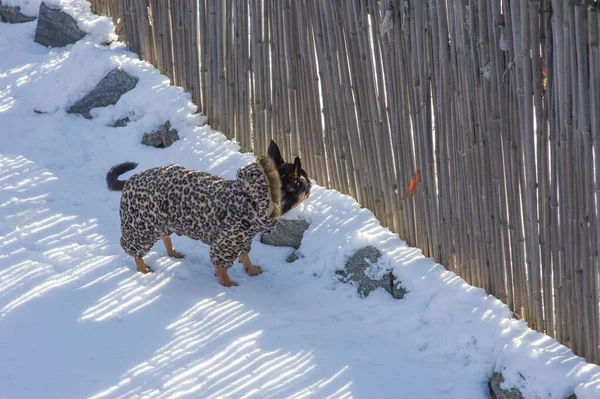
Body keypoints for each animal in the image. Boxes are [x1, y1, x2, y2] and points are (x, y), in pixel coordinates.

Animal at [106, 141, 312, 288]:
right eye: (305, 182)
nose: (311, 184)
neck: (255, 197)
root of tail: (130, 180)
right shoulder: (226, 243)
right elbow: (221, 265)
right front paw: (225, 282)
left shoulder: (243, 239)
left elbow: (245, 256)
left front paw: (251, 269)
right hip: (141, 228)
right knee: (136, 250)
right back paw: (142, 268)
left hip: (160, 221)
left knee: (165, 236)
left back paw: (172, 252)